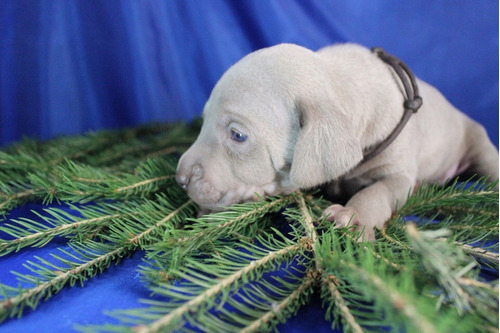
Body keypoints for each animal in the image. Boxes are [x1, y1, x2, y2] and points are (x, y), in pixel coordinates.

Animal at [174, 44, 498, 240]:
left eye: (238, 135)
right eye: (203, 120)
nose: (180, 179)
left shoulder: (399, 174)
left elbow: (378, 192)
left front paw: (353, 216)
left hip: (477, 141)